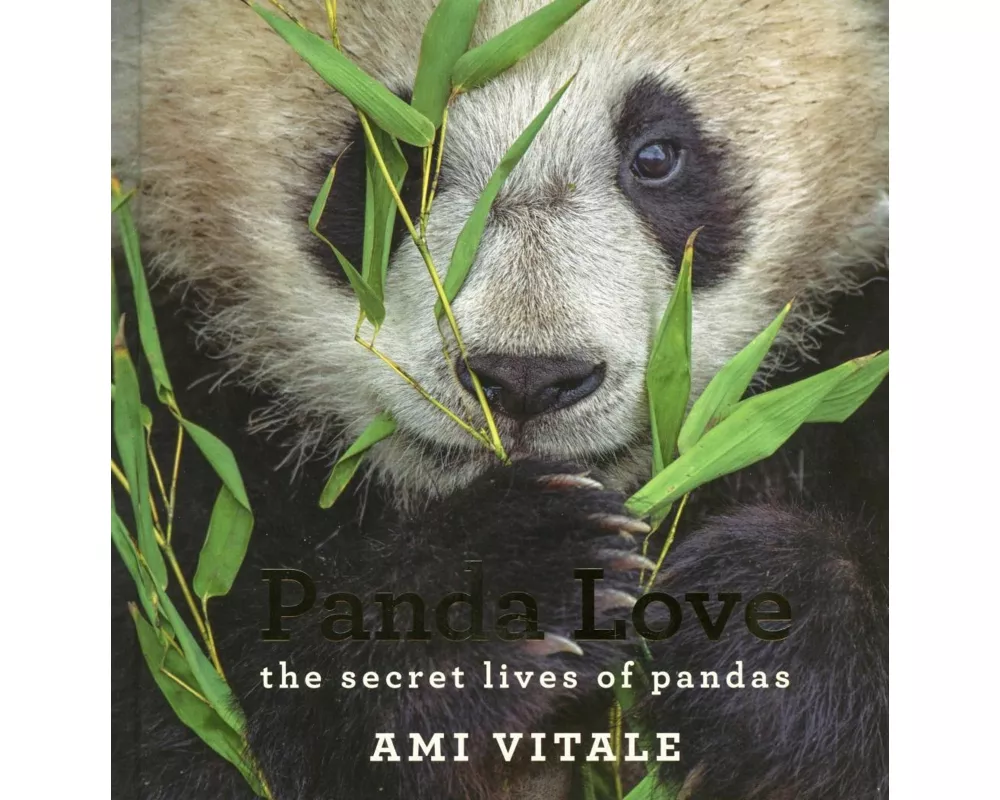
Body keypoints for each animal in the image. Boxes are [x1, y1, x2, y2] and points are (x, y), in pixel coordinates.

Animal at [111, 1, 888, 799]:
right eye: (399, 155)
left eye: (656, 157)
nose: (525, 379)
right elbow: (194, 705)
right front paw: (516, 581)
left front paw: (759, 624)